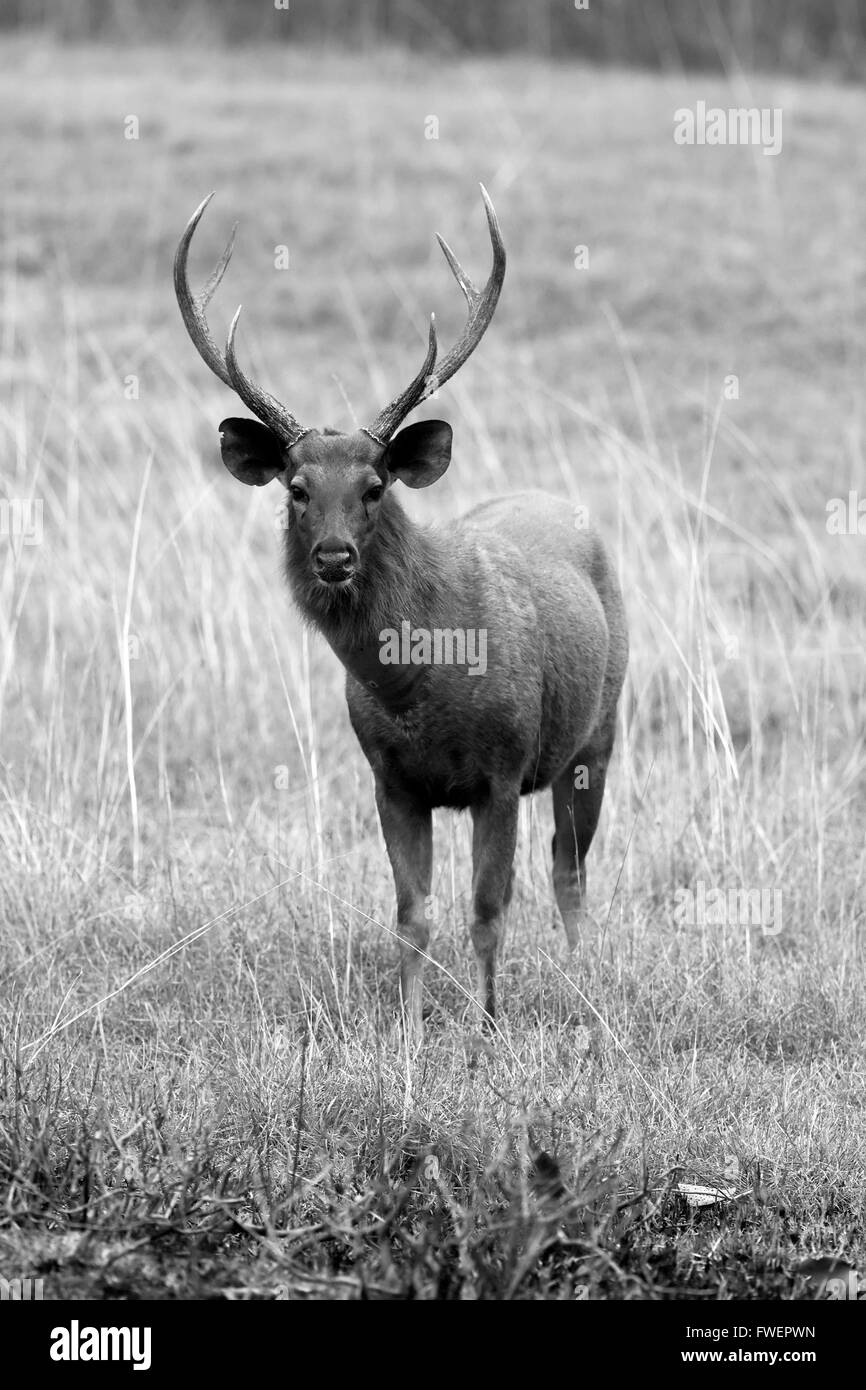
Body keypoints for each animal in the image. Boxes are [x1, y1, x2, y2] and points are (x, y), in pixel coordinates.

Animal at [174, 187, 628, 1038]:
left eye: (376, 486)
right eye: (296, 487)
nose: (333, 557)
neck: (421, 686)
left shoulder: (501, 769)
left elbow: (487, 910)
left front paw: (486, 1029)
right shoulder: (390, 778)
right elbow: (412, 914)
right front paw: (410, 1030)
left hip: (599, 731)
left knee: (571, 869)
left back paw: (585, 981)